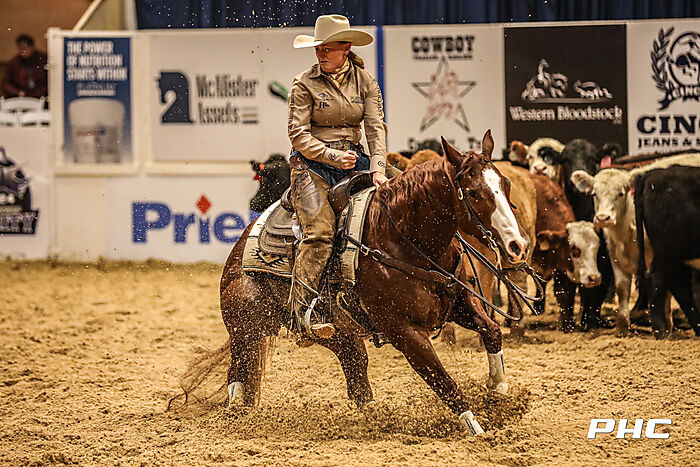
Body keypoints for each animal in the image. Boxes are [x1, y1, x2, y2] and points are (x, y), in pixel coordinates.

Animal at [180, 130, 529, 434]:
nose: (518, 245)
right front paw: (478, 430)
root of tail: (238, 250)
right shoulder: (404, 332)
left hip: (342, 337)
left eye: (506, 184)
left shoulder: (457, 303)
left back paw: (375, 419)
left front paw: (498, 389)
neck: (400, 239)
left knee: (357, 380)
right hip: (247, 329)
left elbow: (492, 331)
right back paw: (239, 416)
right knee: (238, 375)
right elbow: (445, 383)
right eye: (474, 193)